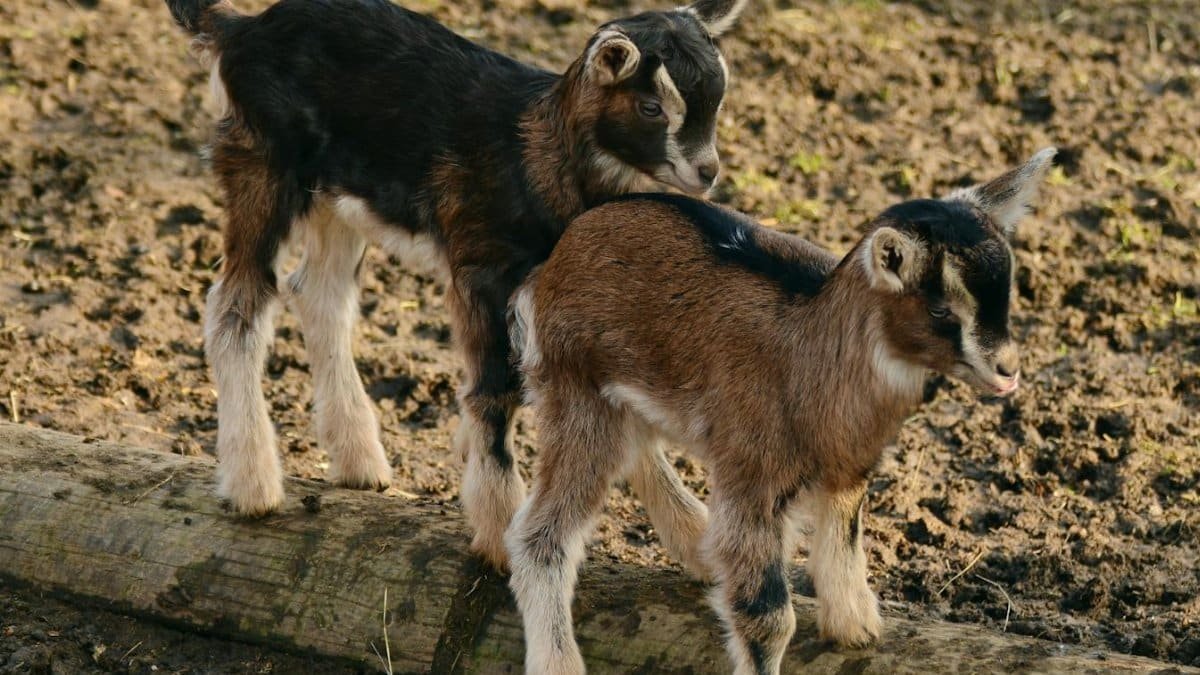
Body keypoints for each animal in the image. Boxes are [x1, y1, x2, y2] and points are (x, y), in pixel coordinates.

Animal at [163, 0, 746, 566]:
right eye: (652, 107)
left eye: (716, 100)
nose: (707, 172)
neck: (535, 157)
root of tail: (239, 30)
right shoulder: (482, 272)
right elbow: (494, 391)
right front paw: (498, 534)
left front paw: (692, 541)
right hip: (262, 166)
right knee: (236, 306)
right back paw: (253, 485)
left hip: (337, 197)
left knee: (319, 295)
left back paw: (358, 459)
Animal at [505, 149, 1057, 674]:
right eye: (942, 310)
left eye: (1006, 296)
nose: (1007, 371)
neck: (809, 354)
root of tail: (555, 258)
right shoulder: (754, 476)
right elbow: (766, 613)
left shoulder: (848, 469)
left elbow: (844, 542)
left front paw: (855, 629)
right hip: (575, 389)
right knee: (541, 535)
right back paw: (560, 661)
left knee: (637, 448)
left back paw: (697, 546)